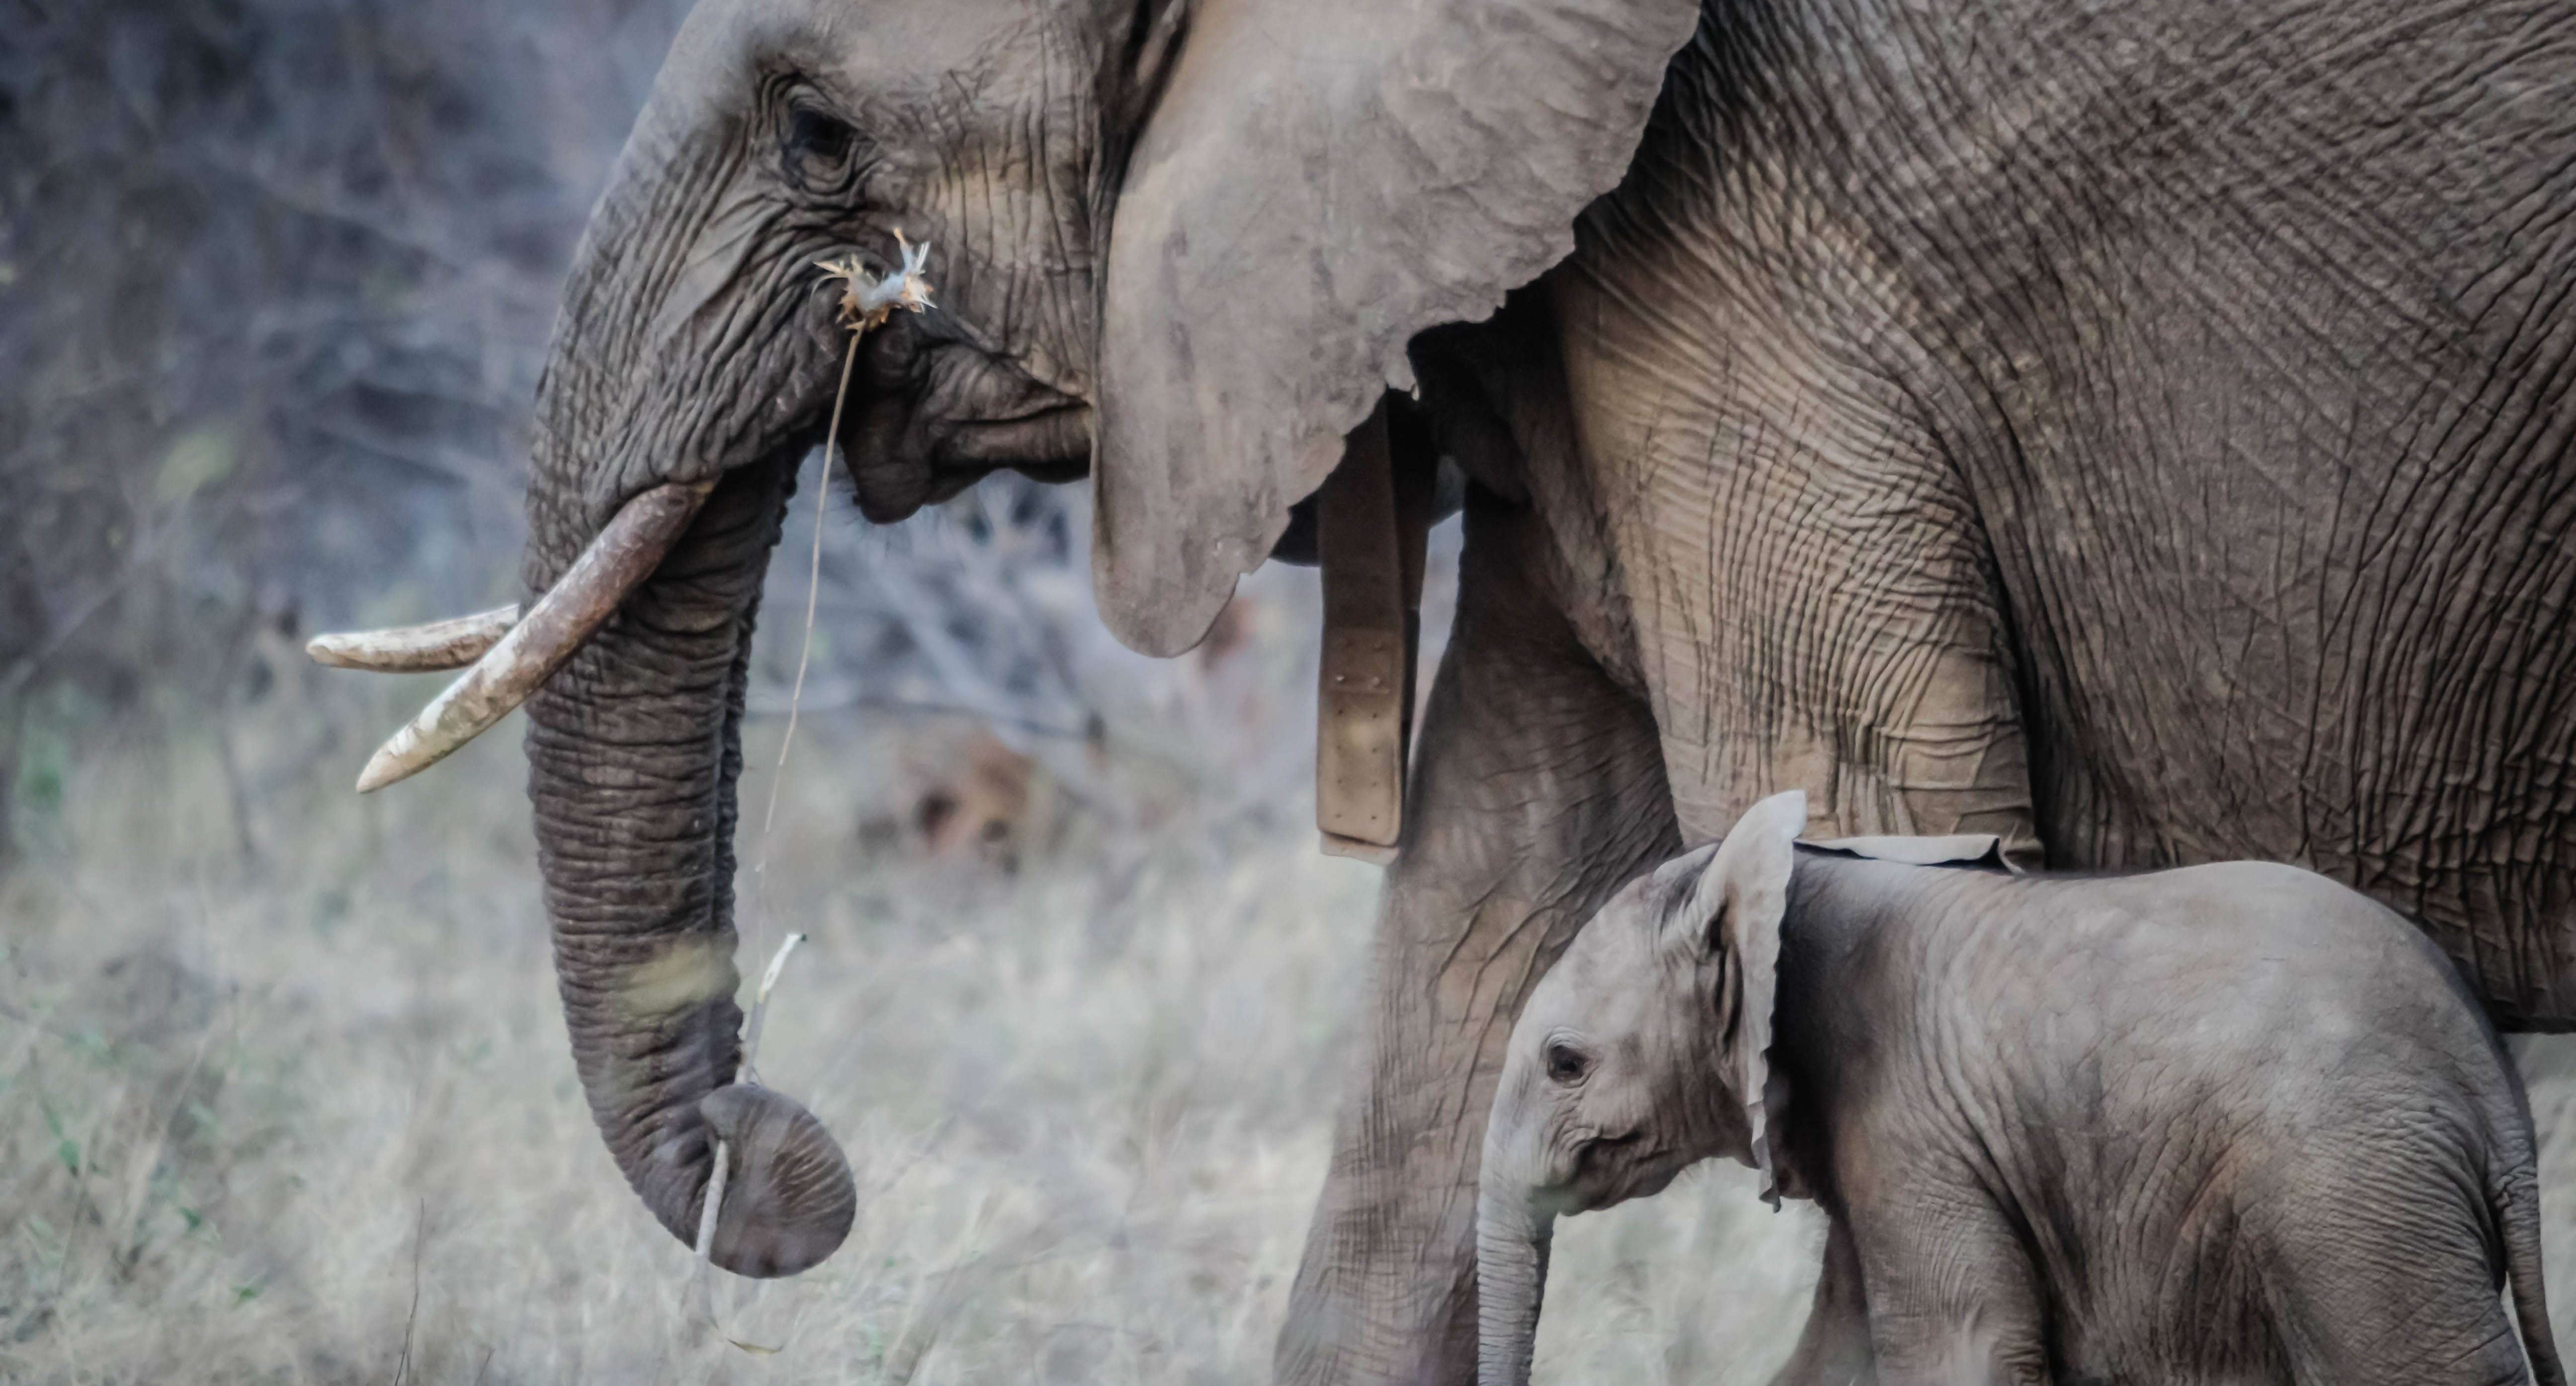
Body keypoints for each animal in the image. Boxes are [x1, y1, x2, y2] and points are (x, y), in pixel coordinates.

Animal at [1477, 791, 2568, 1386]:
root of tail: (2492, 1093)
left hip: (2351, 1197)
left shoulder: (1912, 1121)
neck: (1782, 879)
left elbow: (1961, 1349)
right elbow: (1837, 1357)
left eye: (1565, 1061)